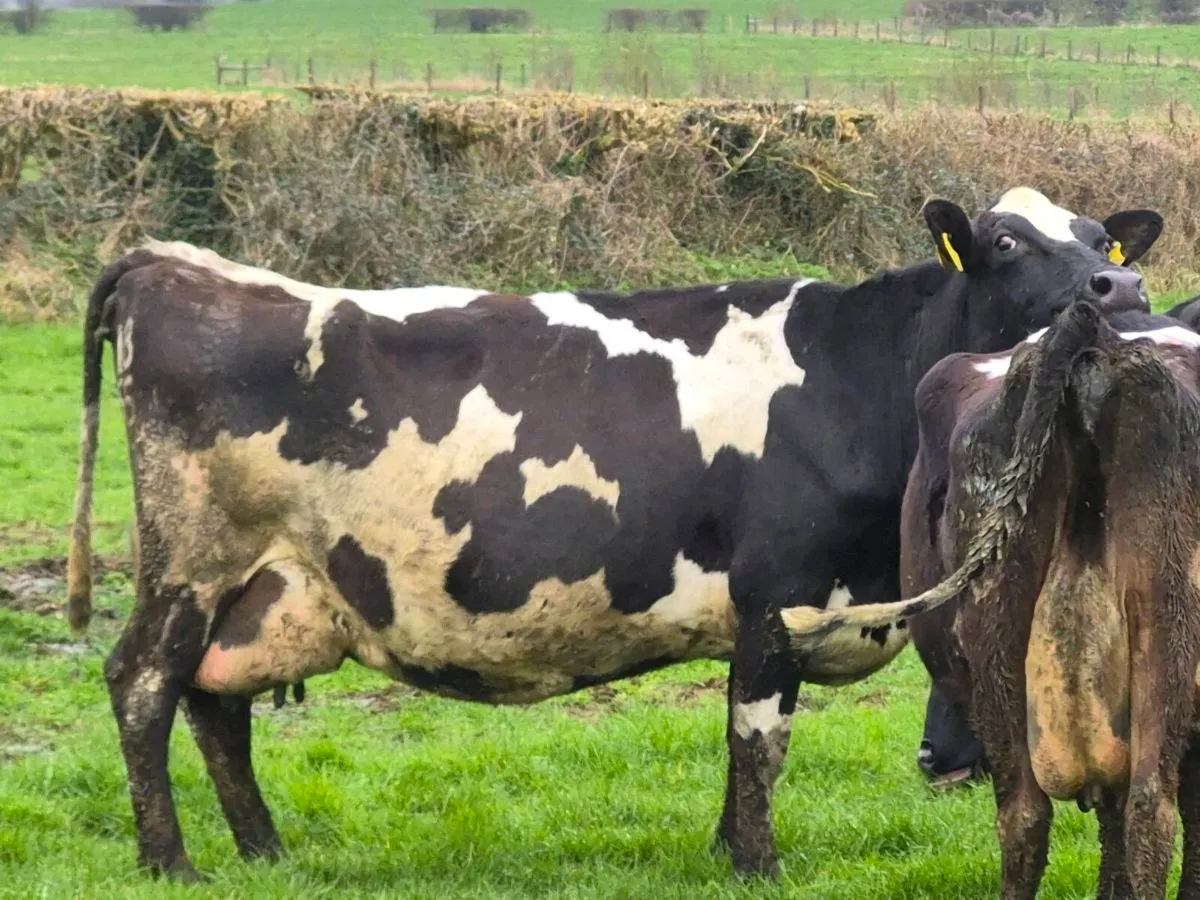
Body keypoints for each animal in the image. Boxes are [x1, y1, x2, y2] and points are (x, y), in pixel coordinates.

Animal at [66, 187, 1161, 882]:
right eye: (1007, 242)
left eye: (1105, 241)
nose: (1121, 292)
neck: (859, 378)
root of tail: (175, 265)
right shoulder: (776, 598)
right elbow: (758, 740)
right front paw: (755, 865)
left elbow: (743, 745)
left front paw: (724, 853)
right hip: (190, 559)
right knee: (144, 684)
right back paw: (172, 862)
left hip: (262, 584)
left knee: (217, 703)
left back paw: (265, 853)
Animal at [786, 301, 1200, 897]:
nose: (932, 759)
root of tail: (1095, 335)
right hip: (1159, 630)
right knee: (1144, 812)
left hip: (1007, 647)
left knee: (1039, 815)